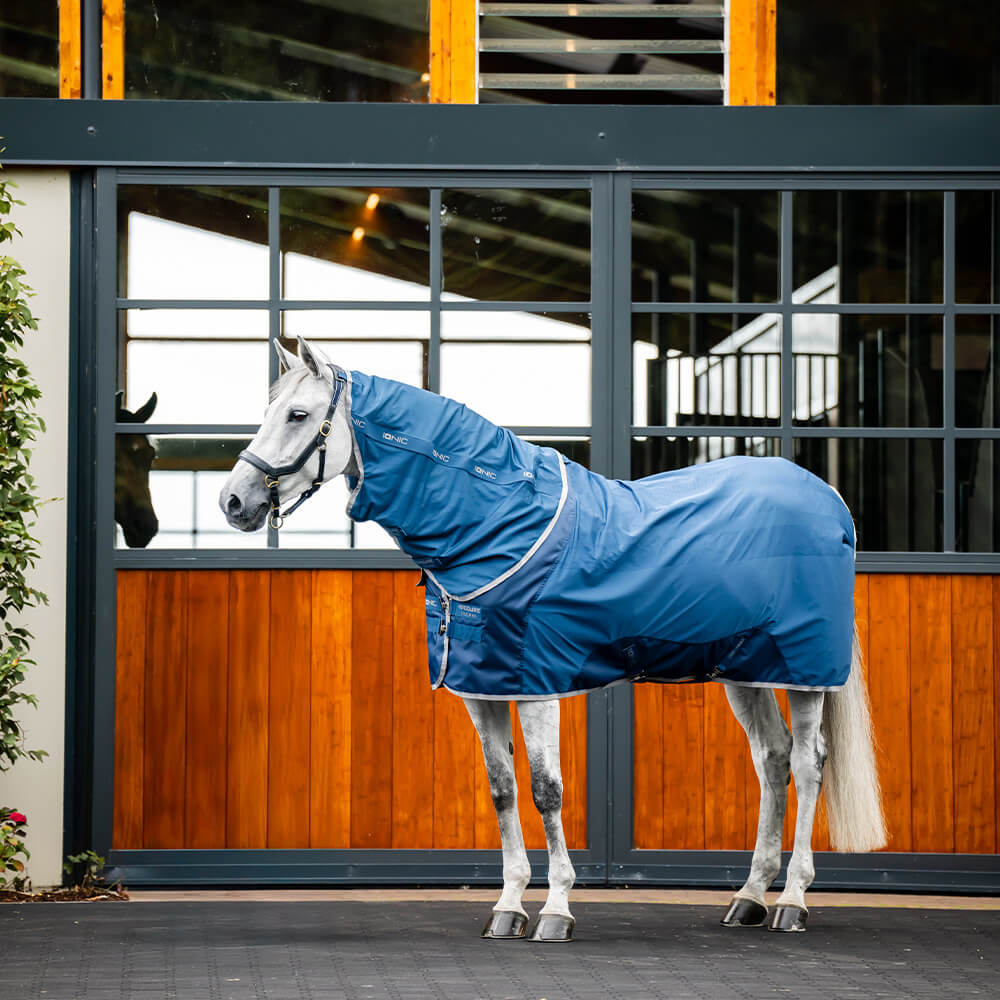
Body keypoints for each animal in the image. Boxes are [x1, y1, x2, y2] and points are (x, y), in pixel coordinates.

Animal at [220, 336, 886, 942]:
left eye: (297, 415)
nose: (233, 502)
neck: (495, 520)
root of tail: (829, 498)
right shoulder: (482, 688)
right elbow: (502, 791)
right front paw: (508, 907)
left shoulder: (535, 682)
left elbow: (546, 792)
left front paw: (557, 910)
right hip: (748, 669)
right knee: (772, 760)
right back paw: (748, 898)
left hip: (804, 673)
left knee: (807, 763)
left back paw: (791, 901)